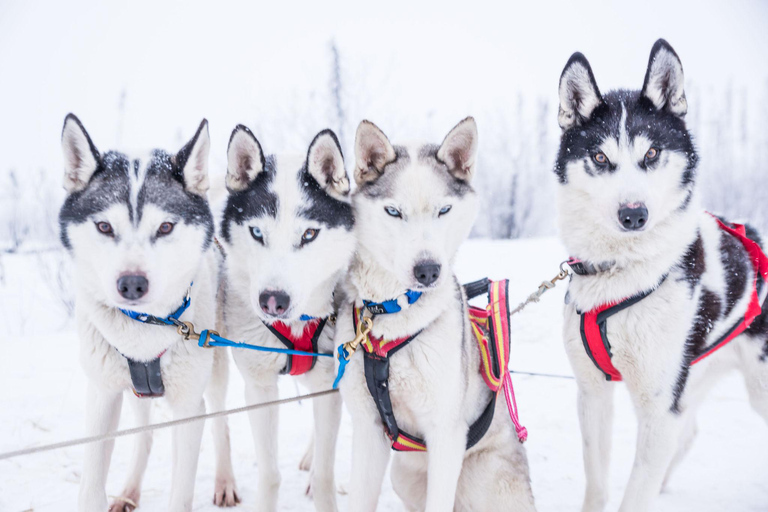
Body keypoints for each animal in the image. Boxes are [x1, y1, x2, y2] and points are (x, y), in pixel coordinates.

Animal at [60, 116, 237, 512]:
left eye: (166, 227)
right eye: (104, 226)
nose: (131, 284)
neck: (143, 330)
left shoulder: (189, 406)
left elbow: (182, 491)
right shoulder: (102, 396)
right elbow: (90, 487)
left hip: (216, 372)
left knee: (220, 421)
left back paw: (225, 481)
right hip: (133, 392)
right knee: (145, 435)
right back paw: (129, 490)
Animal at [219, 125, 354, 512]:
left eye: (309, 234)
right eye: (257, 233)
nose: (272, 301)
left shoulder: (329, 383)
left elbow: (325, 475)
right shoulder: (260, 388)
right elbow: (270, 474)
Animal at [336, 118, 536, 510]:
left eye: (444, 210)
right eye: (393, 212)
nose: (428, 270)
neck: (394, 319)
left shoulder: (445, 433)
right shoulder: (368, 429)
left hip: (483, 477)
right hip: (402, 475)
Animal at [556, 41, 768, 512]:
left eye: (651, 154)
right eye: (600, 157)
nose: (633, 214)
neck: (622, 272)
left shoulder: (657, 406)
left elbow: (635, 493)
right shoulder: (592, 393)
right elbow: (597, 483)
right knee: (686, 435)